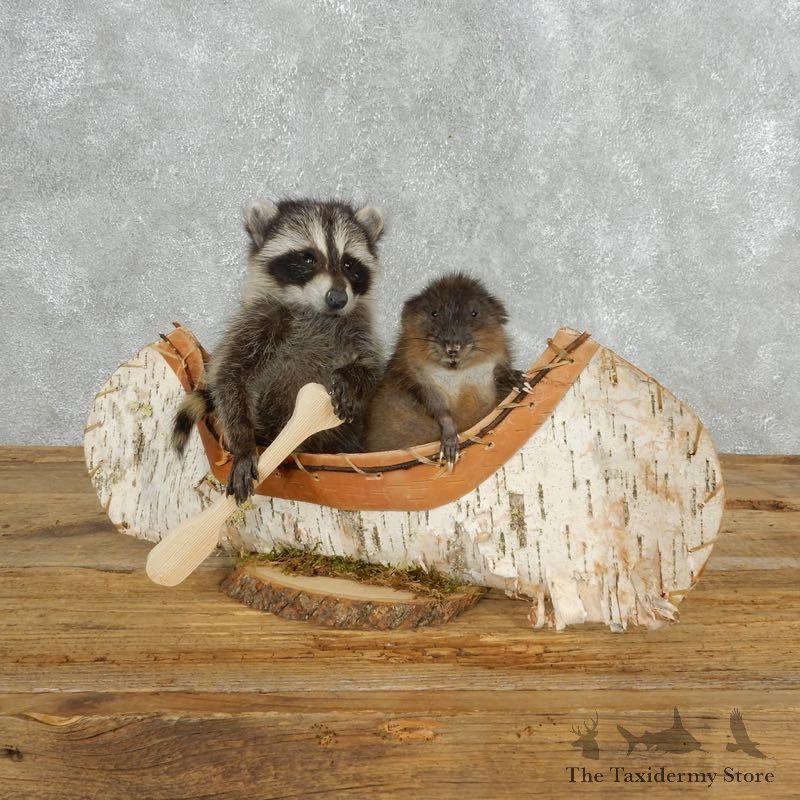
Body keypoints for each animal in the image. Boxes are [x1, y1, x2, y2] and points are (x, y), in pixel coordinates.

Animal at [172, 198, 385, 504]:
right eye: (308, 258)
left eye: (349, 263)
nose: (337, 298)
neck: (316, 312)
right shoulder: (258, 321)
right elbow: (229, 375)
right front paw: (243, 444)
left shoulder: (358, 328)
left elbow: (373, 366)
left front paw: (353, 376)